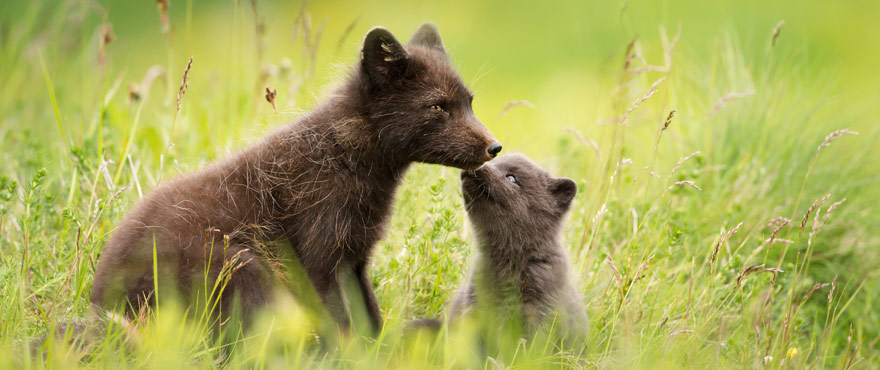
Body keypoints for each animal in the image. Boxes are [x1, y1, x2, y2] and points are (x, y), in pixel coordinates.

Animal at [93, 24, 502, 334]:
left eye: (469, 102)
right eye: (438, 106)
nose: (494, 147)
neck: (344, 158)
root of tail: (99, 301)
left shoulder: (354, 257)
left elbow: (370, 319)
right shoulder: (318, 258)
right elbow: (341, 324)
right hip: (239, 262)